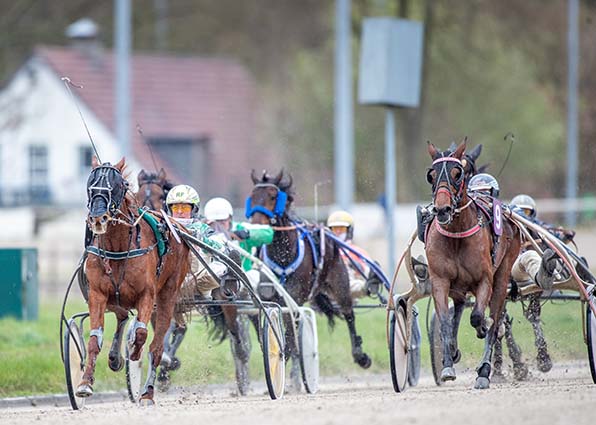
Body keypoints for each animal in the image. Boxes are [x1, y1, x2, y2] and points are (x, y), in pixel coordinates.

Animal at [77, 157, 189, 402]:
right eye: (90, 184)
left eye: (117, 185)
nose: (98, 218)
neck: (118, 247)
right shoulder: (98, 294)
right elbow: (94, 340)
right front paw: (85, 383)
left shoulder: (147, 294)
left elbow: (141, 333)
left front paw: (135, 352)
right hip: (117, 298)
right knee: (121, 316)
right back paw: (116, 358)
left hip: (168, 294)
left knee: (157, 346)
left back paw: (147, 391)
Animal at [424, 142, 520, 388]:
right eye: (431, 175)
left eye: (458, 174)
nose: (442, 210)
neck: (457, 234)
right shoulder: (440, 280)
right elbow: (445, 321)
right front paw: (447, 363)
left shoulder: (484, 279)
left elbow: (479, 317)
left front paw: (483, 326)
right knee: (458, 310)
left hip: (502, 274)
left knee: (494, 318)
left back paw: (484, 371)